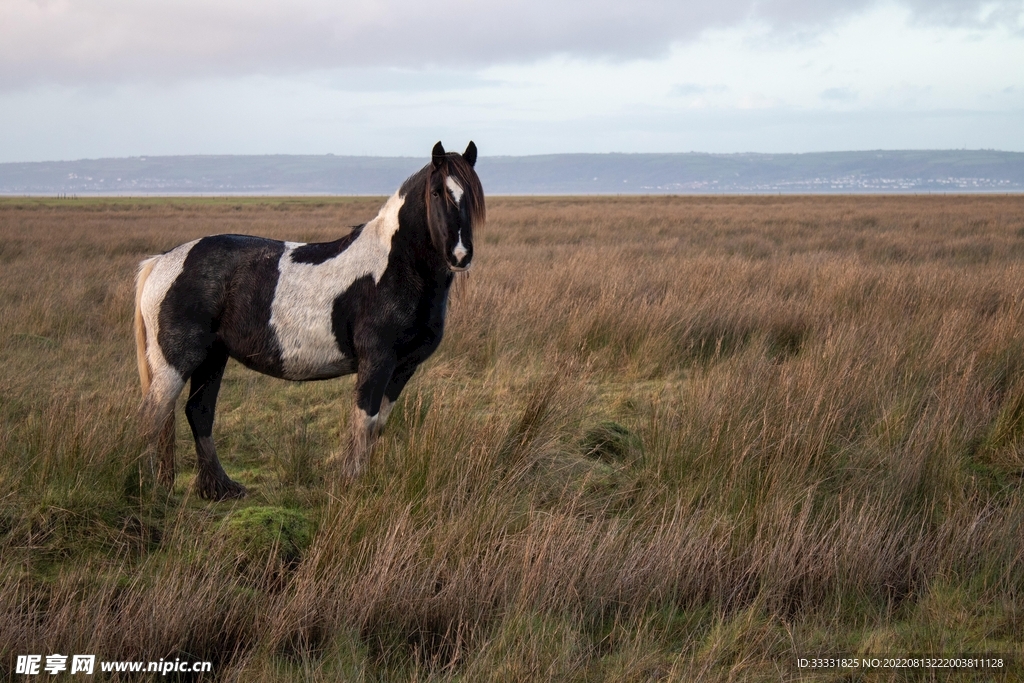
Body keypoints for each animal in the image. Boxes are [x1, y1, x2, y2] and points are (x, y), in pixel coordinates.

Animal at [134, 140, 485, 501]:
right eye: (436, 192)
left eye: (472, 196)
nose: (460, 255)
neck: (394, 267)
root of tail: (162, 261)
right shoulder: (377, 361)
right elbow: (363, 422)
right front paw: (351, 485)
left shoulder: (403, 369)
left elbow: (377, 427)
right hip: (177, 361)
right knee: (152, 417)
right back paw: (147, 490)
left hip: (213, 357)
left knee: (199, 413)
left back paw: (219, 488)